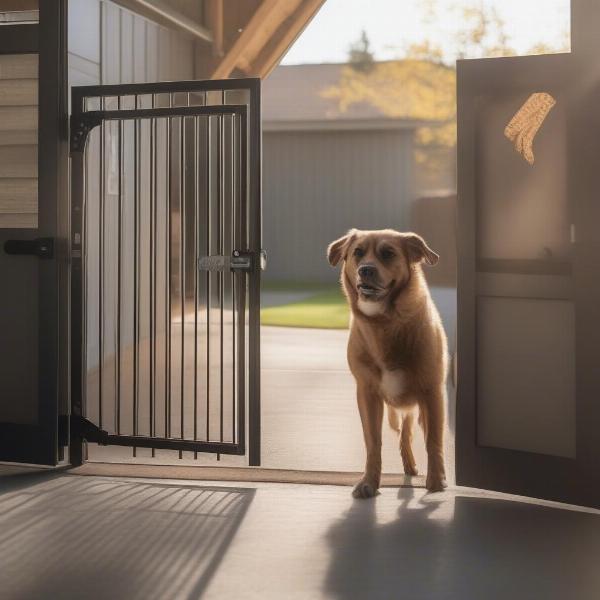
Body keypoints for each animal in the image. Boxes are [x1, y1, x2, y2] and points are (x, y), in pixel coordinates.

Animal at [328, 227, 446, 494]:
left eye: (388, 253)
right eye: (357, 252)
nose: (366, 270)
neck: (383, 322)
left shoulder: (432, 393)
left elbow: (433, 441)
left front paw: (436, 481)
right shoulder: (367, 394)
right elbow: (373, 442)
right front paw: (369, 482)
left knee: (411, 432)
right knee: (403, 434)